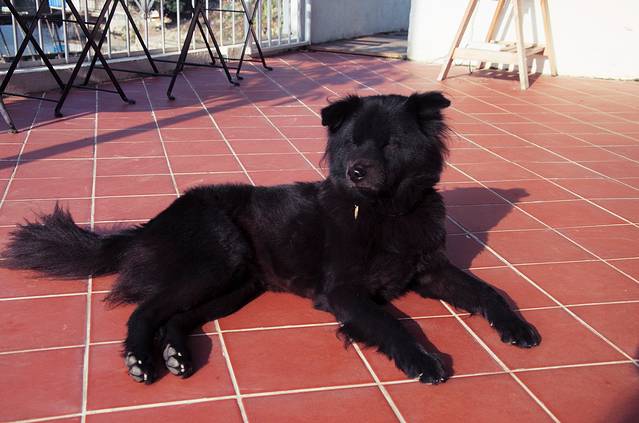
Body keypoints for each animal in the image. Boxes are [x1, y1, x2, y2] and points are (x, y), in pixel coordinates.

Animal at [3, 92, 540, 384]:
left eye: (390, 143)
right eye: (352, 142)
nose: (355, 170)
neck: (384, 212)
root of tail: (152, 222)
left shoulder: (432, 270)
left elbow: (489, 292)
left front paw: (516, 326)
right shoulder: (344, 292)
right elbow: (393, 324)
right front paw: (421, 359)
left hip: (238, 284)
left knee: (176, 317)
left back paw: (176, 354)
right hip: (218, 257)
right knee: (144, 311)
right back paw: (140, 360)